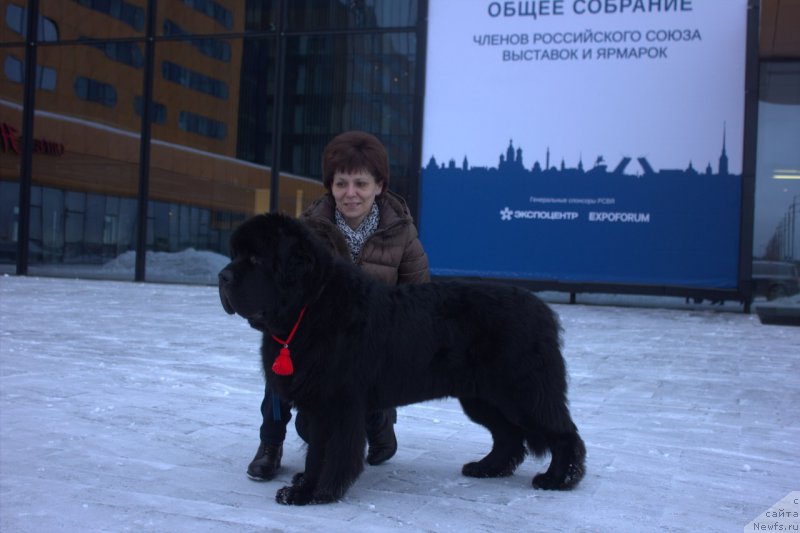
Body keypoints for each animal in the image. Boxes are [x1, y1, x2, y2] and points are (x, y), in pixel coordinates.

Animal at [217, 212, 580, 502]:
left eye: (256, 259)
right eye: (236, 254)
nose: (222, 276)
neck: (310, 306)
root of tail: (543, 311)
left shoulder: (337, 403)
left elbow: (329, 453)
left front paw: (314, 493)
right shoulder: (318, 402)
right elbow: (317, 452)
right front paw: (305, 486)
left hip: (524, 392)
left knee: (562, 433)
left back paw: (558, 479)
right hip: (483, 397)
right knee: (509, 436)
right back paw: (487, 467)